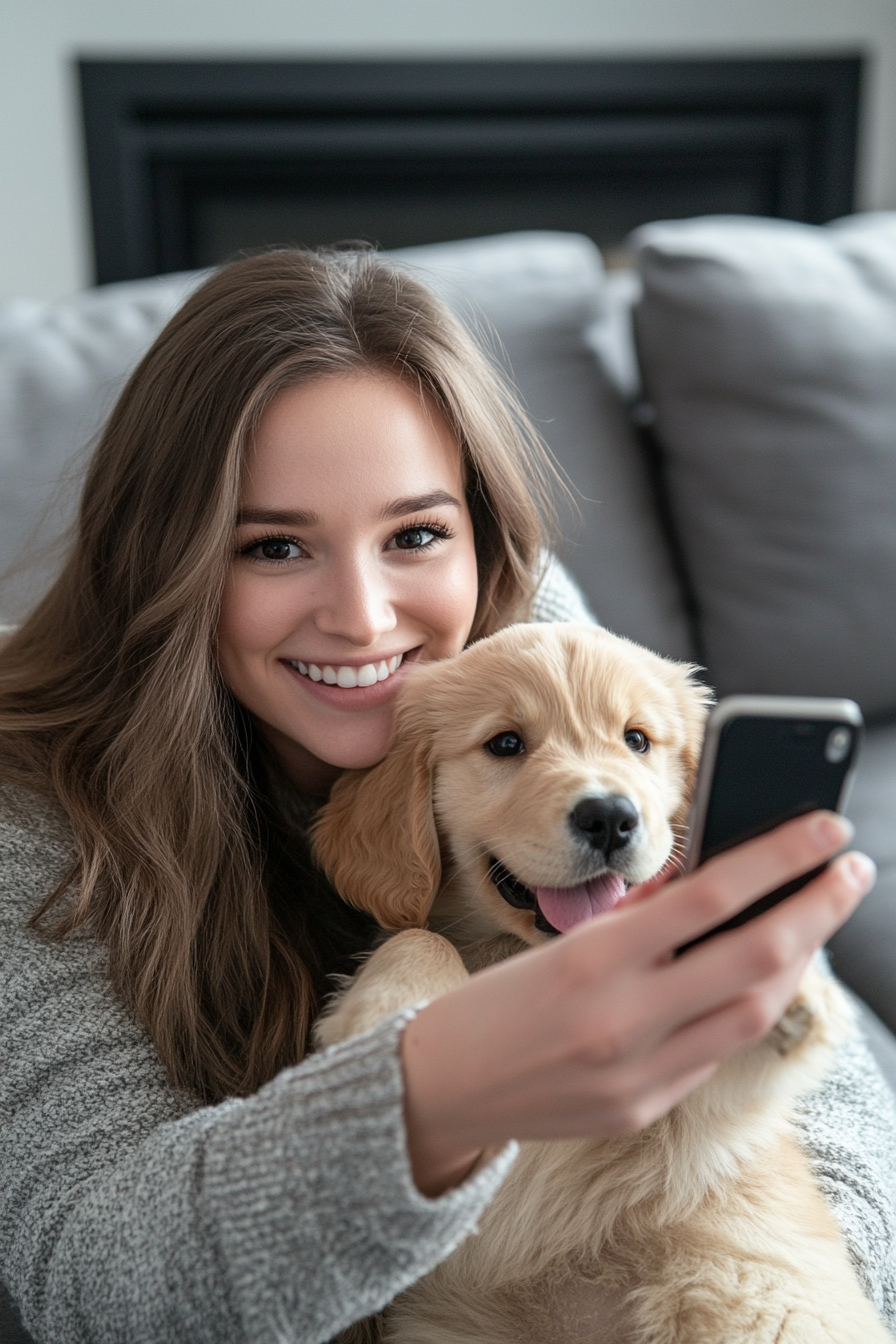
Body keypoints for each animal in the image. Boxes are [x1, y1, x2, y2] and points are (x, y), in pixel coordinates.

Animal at [311, 620, 886, 1344]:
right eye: (506, 744)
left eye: (636, 740)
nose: (610, 817)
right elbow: (420, 934)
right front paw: (395, 1006)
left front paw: (794, 989)